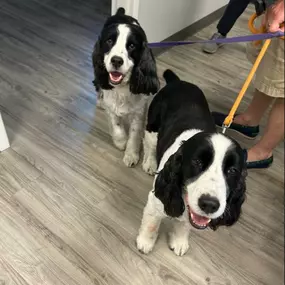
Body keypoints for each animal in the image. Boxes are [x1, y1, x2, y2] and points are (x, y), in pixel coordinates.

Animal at [92, 7, 159, 165]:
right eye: (109, 41)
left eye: (132, 46)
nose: (116, 60)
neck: (122, 87)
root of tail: (121, 13)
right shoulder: (111, 104)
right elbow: (117, 127)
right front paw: (121, 142)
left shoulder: (139, 111)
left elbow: (134, 134)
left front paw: (131, 155)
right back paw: (100, 102)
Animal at [136, 69, 245, 255]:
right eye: (197, 162)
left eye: (232, 171)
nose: (209, 204)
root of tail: (178, 81)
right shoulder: (156, 200)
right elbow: (151, 223)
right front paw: (145, 243)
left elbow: (185, 224)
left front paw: (179, 242)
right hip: (153, 125)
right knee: (149, 142)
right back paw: (149, 163)